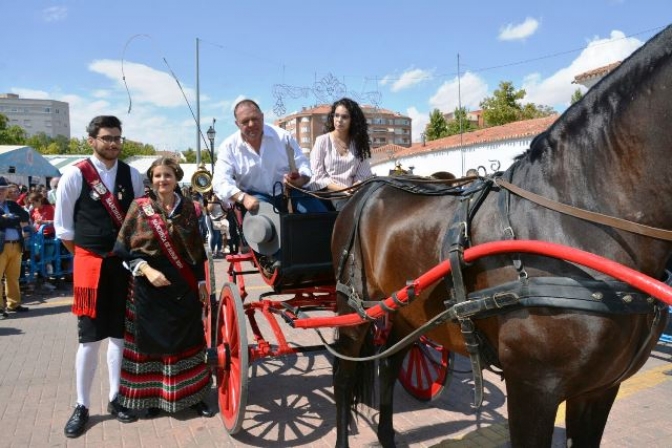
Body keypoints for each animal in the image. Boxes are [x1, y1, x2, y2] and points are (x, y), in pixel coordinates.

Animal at [330, 25, 672, 448]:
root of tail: (364, 191)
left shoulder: (600, 389)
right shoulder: (533, 388)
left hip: (406, 310)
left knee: (391, 365)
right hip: (352, 306)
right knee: (344, 376)